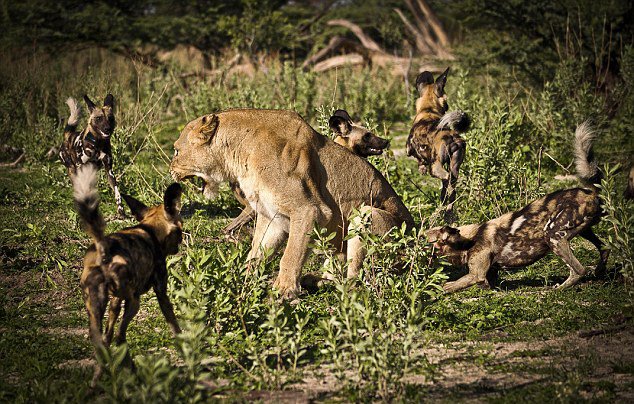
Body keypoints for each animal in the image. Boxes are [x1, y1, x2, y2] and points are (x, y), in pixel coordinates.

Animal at [74, 164, 184, 386]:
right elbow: (174, 325)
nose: (180, 243)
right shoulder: (161, 293)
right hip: (134, 302)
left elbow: (107, 338)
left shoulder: (115, 301)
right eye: (180, 229)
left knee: (103, 341)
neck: (149, 229)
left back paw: (99, 381)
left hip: (97, 307)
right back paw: (133, 374)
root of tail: (103, 249)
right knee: (120, 336)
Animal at [424, 121, 608, 292]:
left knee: (579, 270)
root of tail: (591, 192)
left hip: (553, 235)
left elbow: (449, 285)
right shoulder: (488, 276)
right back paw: (599, 272)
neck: (468, 240)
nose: (416, 246)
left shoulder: (476, 275)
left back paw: (559, 288)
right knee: (604, 249)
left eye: (428, 242)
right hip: (584, 231)